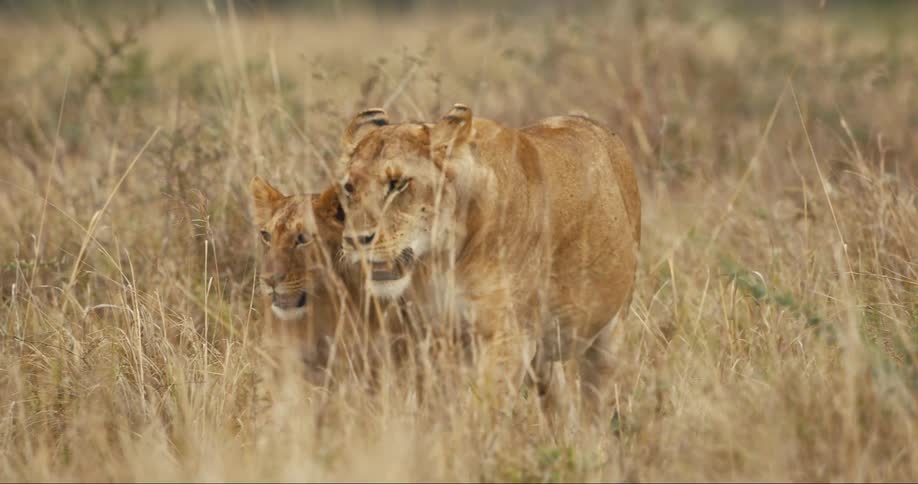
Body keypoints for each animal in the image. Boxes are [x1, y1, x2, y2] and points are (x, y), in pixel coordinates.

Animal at [336, 105, 641, 413]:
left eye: (397, 184)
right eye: (349, 188)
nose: (355, 240)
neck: (442, 258)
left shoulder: (509, 337)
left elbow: (484, 406)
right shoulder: (429, 336)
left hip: (609, 334)